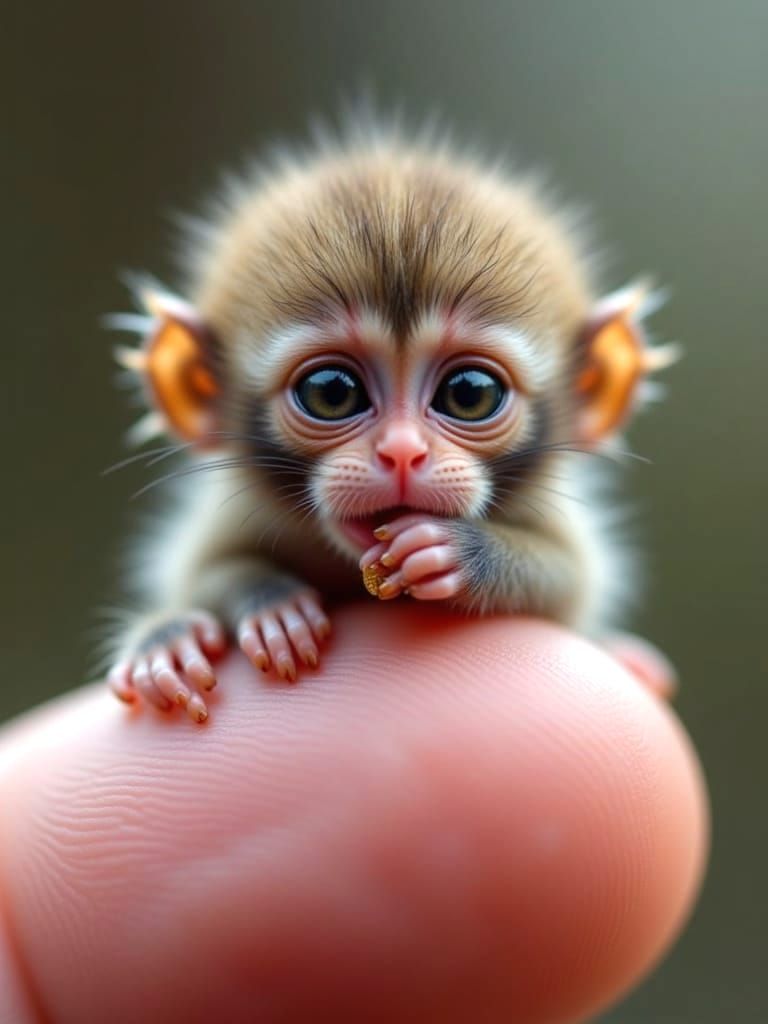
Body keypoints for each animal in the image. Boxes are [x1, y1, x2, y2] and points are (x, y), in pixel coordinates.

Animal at [104, 130, 678, 723]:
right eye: (332, 392)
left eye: (469, 394)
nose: (402, 452)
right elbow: (195, 570)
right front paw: (259, 610)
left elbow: (574, 578)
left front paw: (459, 552)